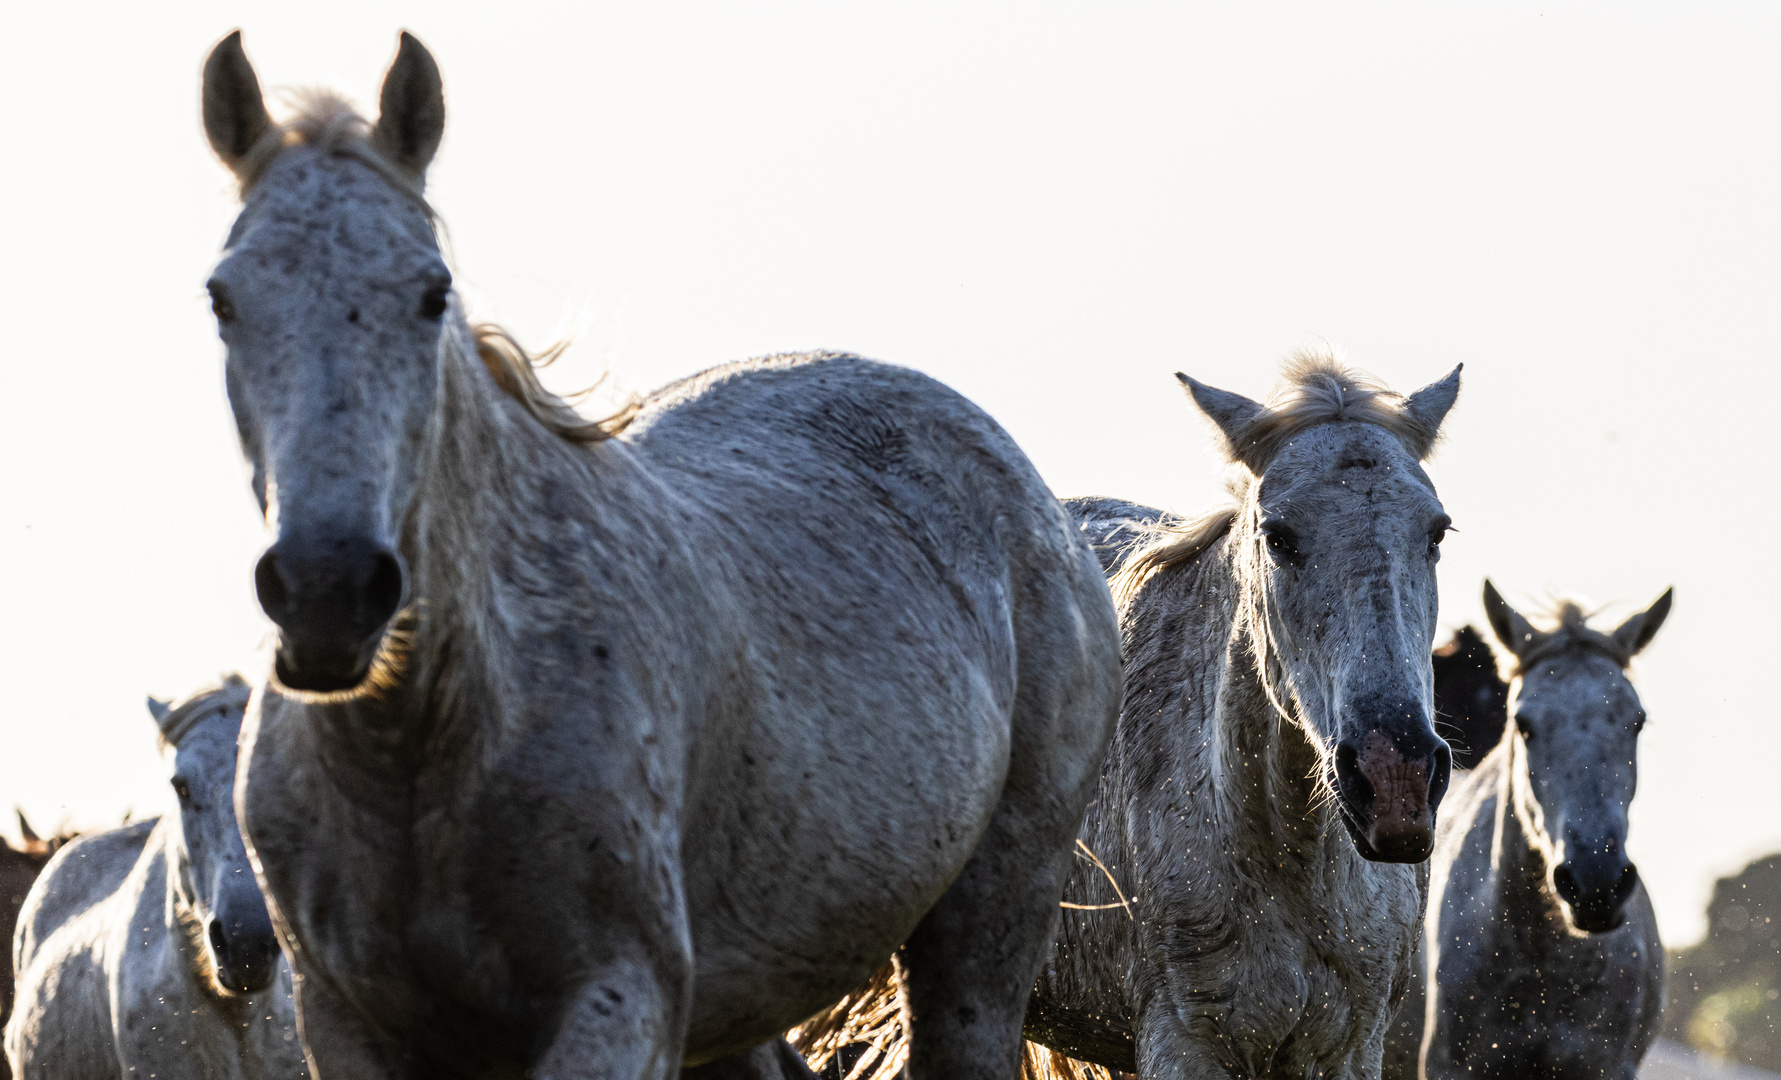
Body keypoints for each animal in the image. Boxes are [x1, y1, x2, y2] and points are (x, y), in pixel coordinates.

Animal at [195, 29, 1111, 1080]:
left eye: (432, 293)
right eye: (222, 297)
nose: (329, 591)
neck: (431, 737)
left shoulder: (618, 998)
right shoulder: (351, 1027)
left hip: (985, 932)